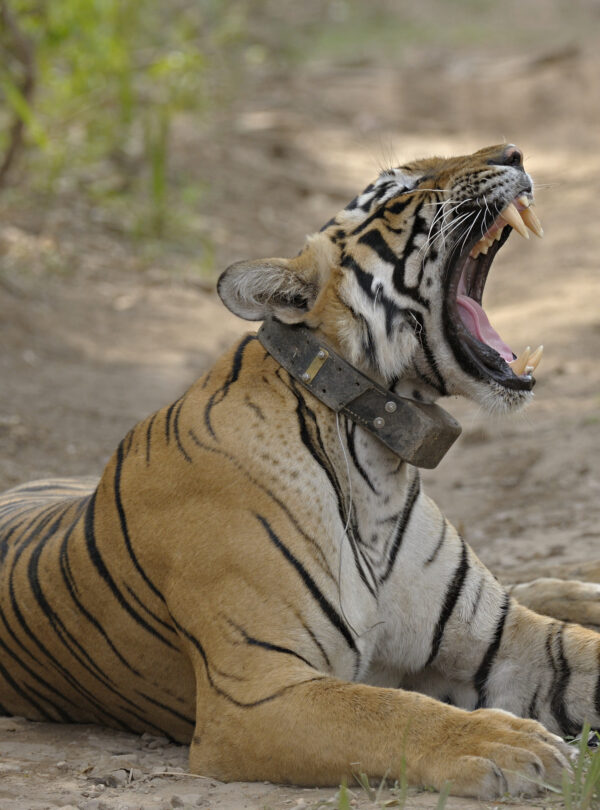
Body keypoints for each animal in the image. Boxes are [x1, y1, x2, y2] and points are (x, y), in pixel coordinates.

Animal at [1, 143, 599, 801]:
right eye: (399, 189)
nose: (513, 152)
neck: (377, 464)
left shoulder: (503, 640)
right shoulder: (256, 691)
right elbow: (391, 712)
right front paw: (507, 741)